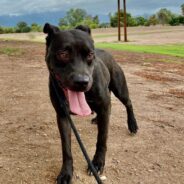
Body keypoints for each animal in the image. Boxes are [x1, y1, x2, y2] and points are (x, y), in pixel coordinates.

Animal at [43, 23, 138, 184]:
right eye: (63, 54)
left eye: (89, 55)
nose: (82, 81)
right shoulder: (62, 115)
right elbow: (66, 147)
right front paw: (66, 172)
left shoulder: (104, 106)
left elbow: (102, 139)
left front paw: (98, 163)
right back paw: (96, 119)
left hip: (120, 89)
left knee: (129, 103)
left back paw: (132, 124)